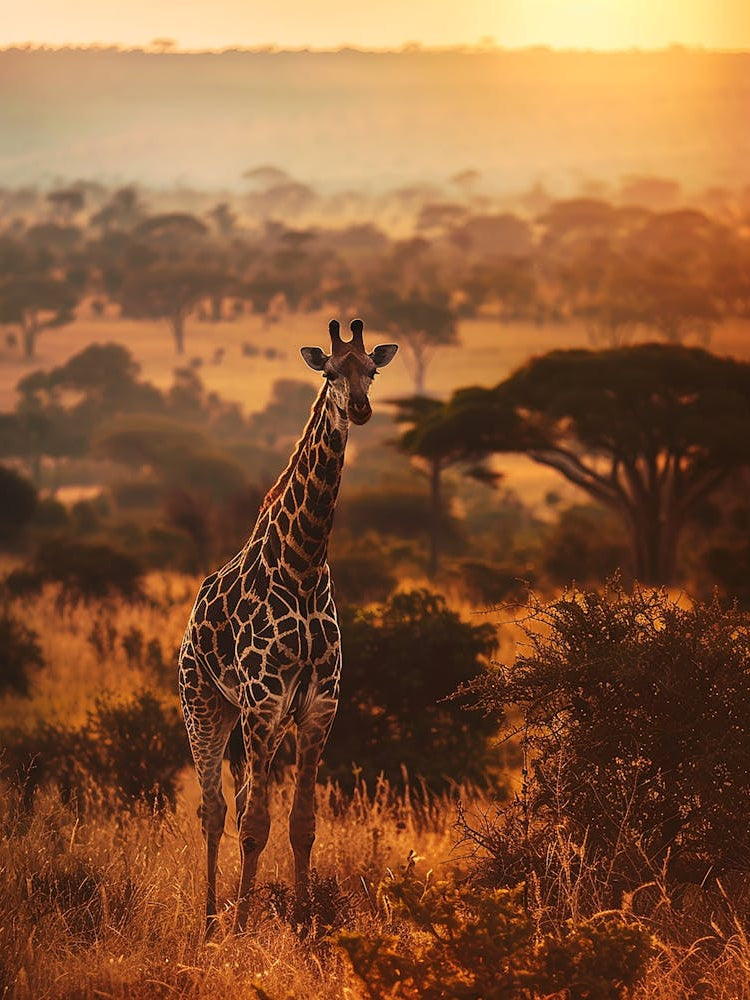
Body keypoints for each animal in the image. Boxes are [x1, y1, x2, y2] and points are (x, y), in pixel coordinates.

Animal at [178, 318, 398, 934]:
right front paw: (240, 927)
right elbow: (254, 825)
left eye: (371, 370)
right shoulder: (263, 701)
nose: (360, 408)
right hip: (204, 703)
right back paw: (211, 918)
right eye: (329, 372)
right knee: (214, 810)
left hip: (256, 720)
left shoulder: (318, 704)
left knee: (241, 799)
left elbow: (301, 825)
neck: (302, 564)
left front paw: (302, 923)